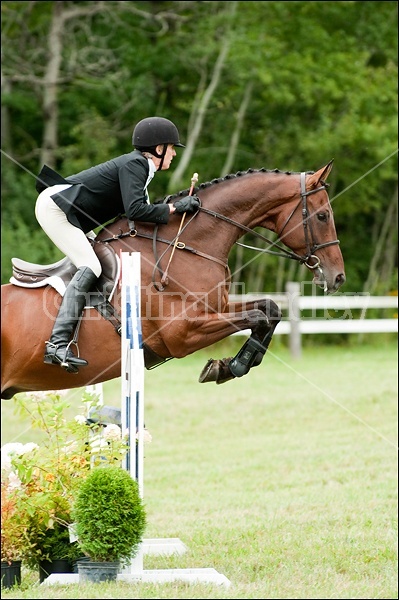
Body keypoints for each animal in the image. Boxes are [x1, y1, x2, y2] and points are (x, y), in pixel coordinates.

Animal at [0, 162, 346, 400]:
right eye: (323, 216)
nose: (338, 277)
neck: (184, 245)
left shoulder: (214, 309)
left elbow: (269, 309)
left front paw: (230, 365)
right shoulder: (183, 333)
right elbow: (258, 316)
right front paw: (230, 367)